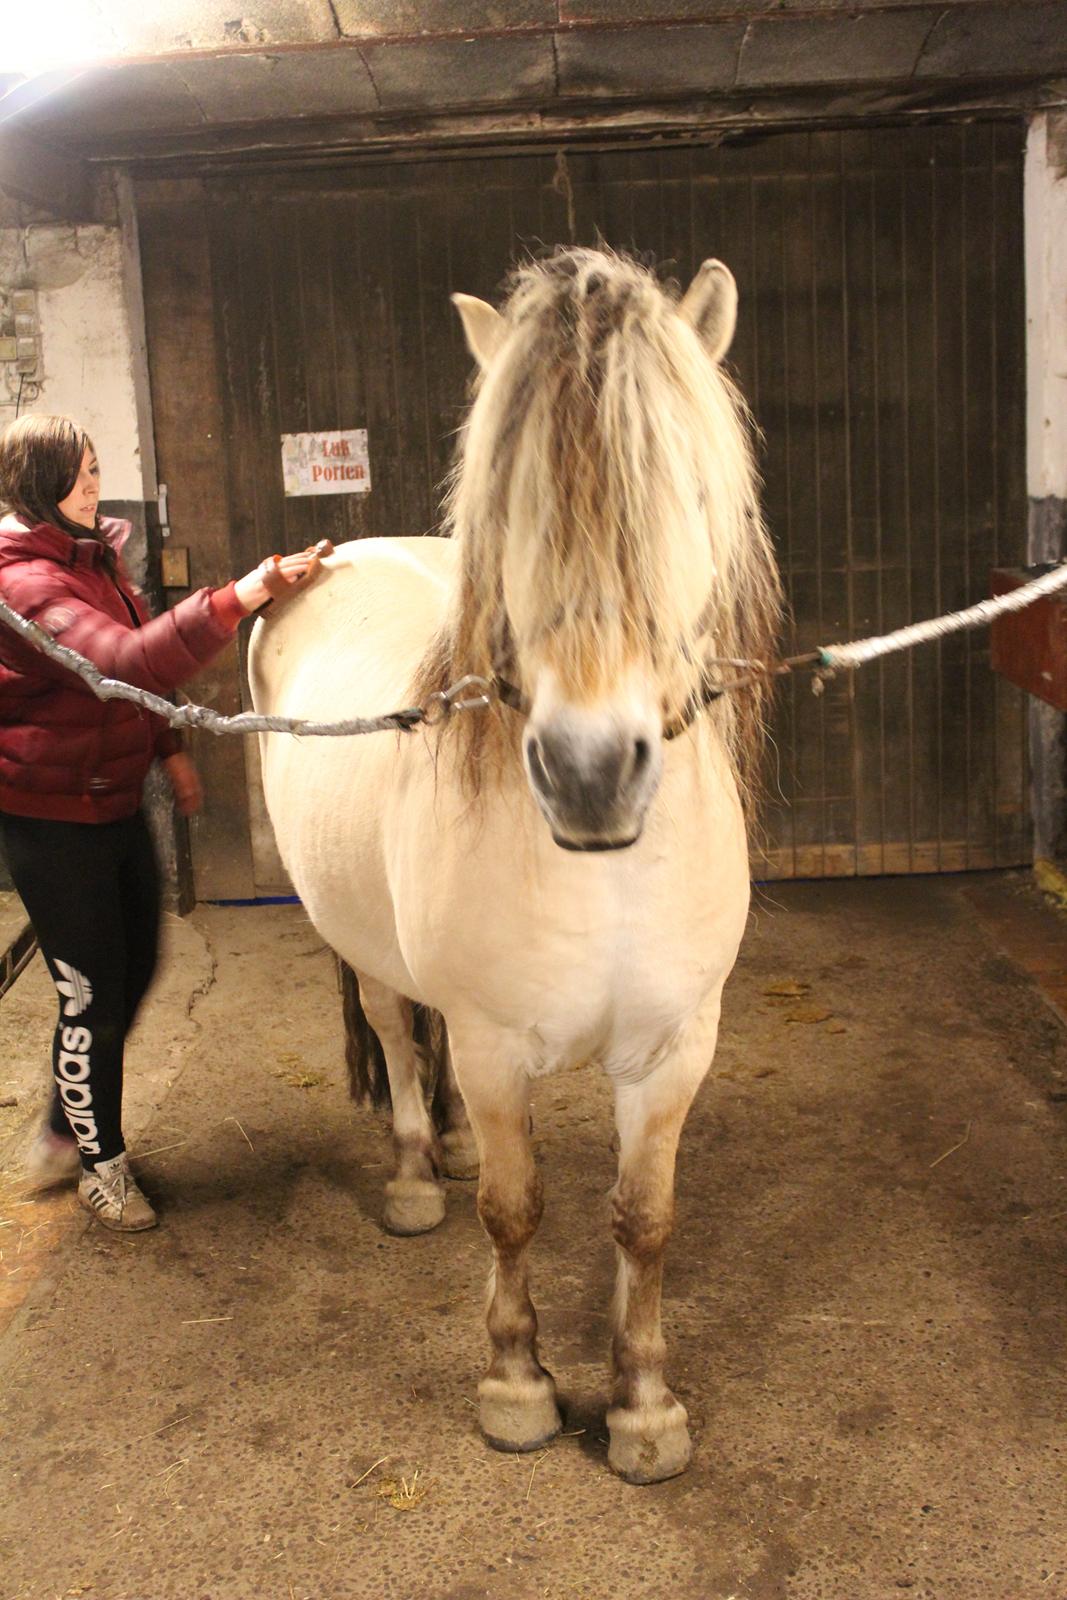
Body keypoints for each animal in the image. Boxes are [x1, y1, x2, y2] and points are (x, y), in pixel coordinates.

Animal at [251, 249, 783, 1484]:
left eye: (682, 497)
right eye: (515, 512)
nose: (589, 774)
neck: (602, 873)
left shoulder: (675, 1050)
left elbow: (643, 1218)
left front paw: (643, 1405)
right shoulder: (499, 1050)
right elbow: (514, 1208)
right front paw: (517, 1384)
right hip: (363, 945)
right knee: (397, 1035)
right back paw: (414, 1168)